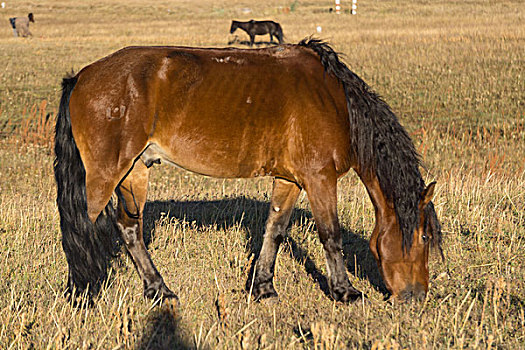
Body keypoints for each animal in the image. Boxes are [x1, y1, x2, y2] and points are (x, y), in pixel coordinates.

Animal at [53, 38, 440, 304]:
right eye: (424, 237)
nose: (417, 296)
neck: (335, 99)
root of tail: (81, 77)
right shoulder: (319, 178)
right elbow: (331, 235)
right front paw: (345, 291)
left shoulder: (290, 180)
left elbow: (275, 230)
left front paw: (263, 287)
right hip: (106, 175)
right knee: (88, 227)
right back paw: (85, 292)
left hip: (134, 172)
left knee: (130, 228)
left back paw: (159, 290)